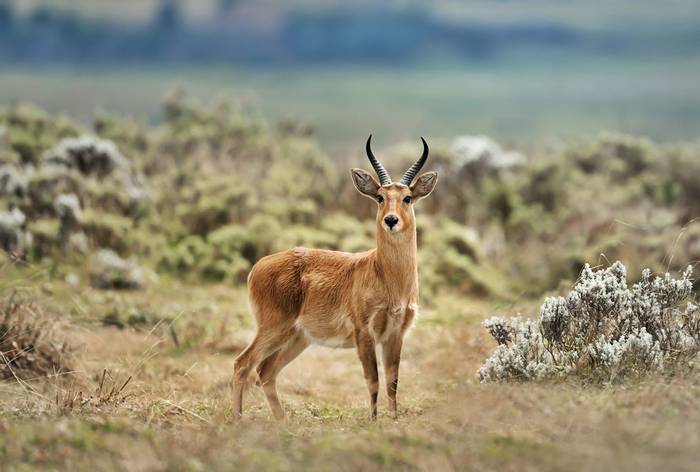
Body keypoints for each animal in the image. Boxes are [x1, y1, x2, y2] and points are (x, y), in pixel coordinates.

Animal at [232, 136, 434, 420]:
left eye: (407, 198)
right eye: (380, 197)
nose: (391, 220)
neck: (386, 276)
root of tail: (257, 267)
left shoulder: (396, 334)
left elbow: (392, 382)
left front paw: (393, 420)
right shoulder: (364, 332)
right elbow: (373, 379)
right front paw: (373, 421)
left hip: (297, 337)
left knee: (266, 371)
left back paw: (282, 422)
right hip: (274, 328)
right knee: (242, 364)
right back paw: (238, 420)